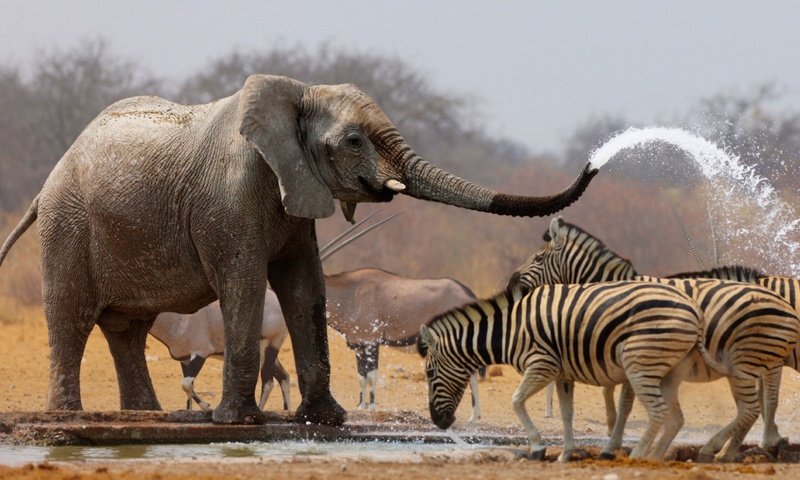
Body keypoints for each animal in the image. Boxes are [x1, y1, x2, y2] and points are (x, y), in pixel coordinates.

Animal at [0, 73, 596, 426]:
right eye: (354, 141)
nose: (594, 162)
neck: (298, 94)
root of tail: (46, 185)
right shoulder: (230, 198)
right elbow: (244, 284)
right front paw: (237, 424)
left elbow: (304, 286)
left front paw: (326, 420)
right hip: (67, 225)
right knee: (72, 318)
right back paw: (68, 421)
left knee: (127, 329)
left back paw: (146, 418)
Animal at [418, 282, 712, 462]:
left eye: (430, 373)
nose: (439, 422)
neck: (510, 330)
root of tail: (693, 307)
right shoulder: (563, 374)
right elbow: (566, 413)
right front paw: (565, 454)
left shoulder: (542, 364)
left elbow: (516, 401)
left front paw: (538, 447)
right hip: (666, 369)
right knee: (674, 417)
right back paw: (653, 456)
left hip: (640, 363)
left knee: (658, 412)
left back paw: (638, 455)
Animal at [510, 216, 800, 460]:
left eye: (538, 258)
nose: (512, 283)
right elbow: (613, 393)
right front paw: (612, 433)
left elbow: (625, 402)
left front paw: (612, 444)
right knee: (756, 404)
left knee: (760, 402)